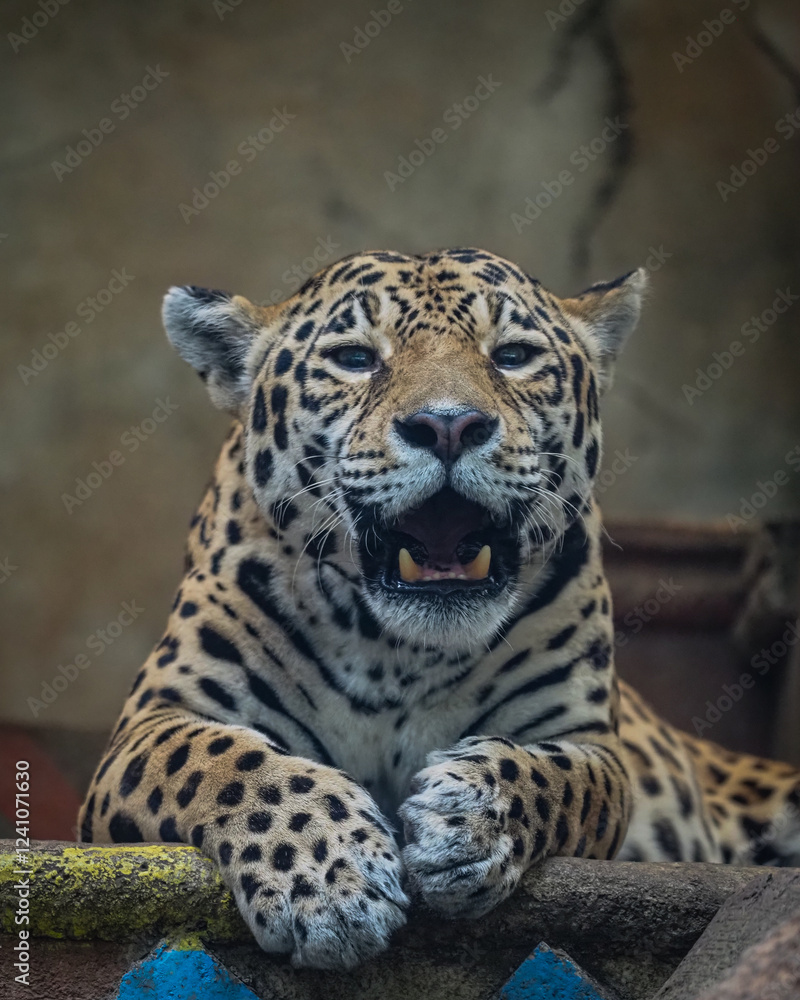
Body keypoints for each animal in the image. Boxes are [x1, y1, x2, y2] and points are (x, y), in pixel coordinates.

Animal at [79, 247, 800, 970]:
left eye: (512, 356)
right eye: (355, 358)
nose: (449, 424)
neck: (397, 653)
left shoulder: (595, 747)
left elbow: (557, 778)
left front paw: (469, 820)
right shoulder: (151, 723)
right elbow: (228, 764)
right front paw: (328, 880)